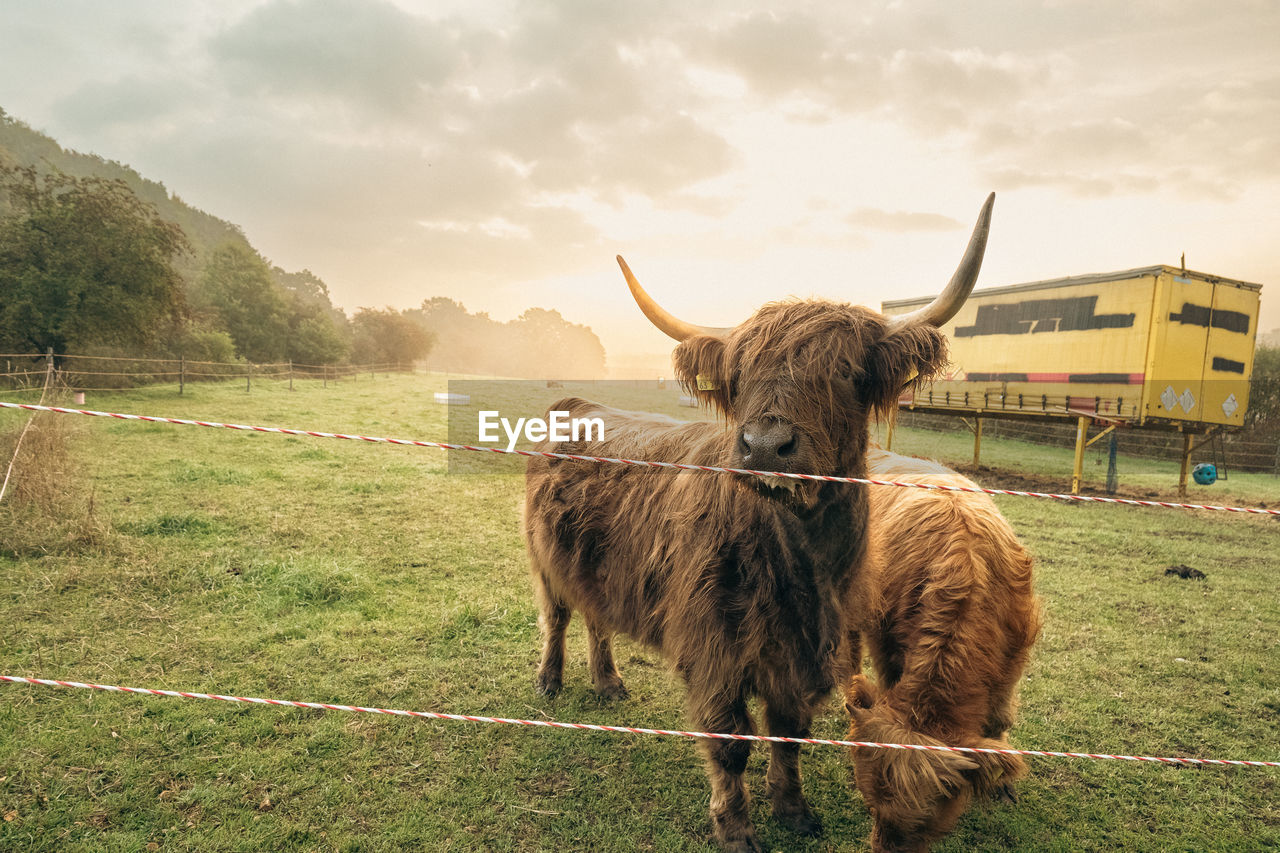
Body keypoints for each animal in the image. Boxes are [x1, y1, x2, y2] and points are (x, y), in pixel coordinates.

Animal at [524, 194, 993, 850]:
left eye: (845, 373)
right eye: (739, 375)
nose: (766, 445)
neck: (799, 561)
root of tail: (575, 403)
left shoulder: (810, 648)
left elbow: (789, 732)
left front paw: (793, 809)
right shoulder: (714, 649)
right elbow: (731, 742)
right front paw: (736, 827)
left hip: (600, 565)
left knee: (597, 616)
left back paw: (609, 683)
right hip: (544, 557)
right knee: (558, 615)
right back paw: (549, 681)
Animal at [844, 448, 1044, 845]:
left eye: (925, 822)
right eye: (871, 806)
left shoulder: (1014, 658)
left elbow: (999, 717)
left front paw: (1003, 786)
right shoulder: (886, 642)